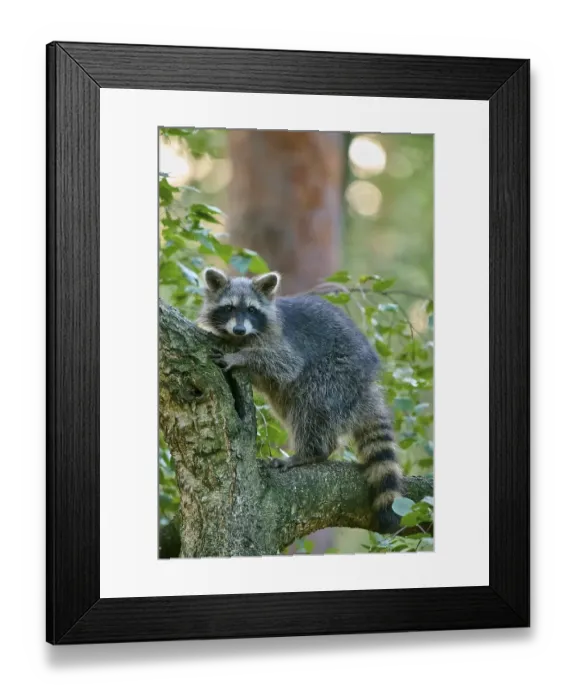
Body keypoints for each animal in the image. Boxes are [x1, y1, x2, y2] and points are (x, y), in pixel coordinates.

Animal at [196, 267, 405, 532]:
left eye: (252, 310)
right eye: (229, 308)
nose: (239, 330)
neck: (242, 337)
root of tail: (365, 384)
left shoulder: (281, 342)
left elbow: (284, 363)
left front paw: (242, 357)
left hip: (336, 374)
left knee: (311, 406)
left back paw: (311, 452)